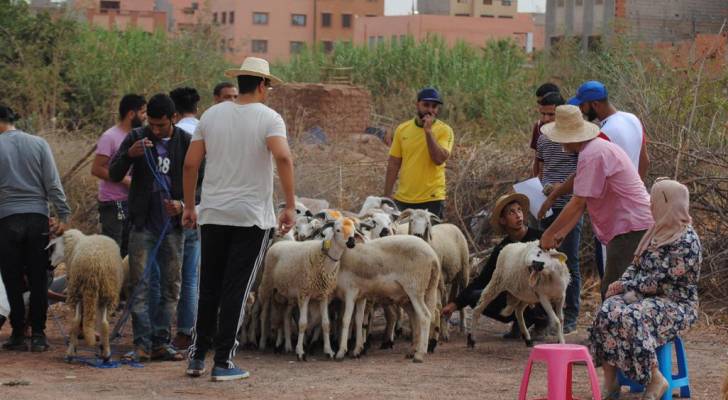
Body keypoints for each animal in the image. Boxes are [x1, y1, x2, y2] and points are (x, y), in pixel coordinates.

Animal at [46, 228, 122, 362]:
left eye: (53, 247)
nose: (49, 265)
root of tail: (95, 263)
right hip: (105, 291)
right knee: (104, 323)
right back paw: (106, 354)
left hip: (79, 290)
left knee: (76, 320)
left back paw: (71, 353)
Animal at [258, 217, 358, 360]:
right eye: (338, 230)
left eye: (354, 231)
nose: (351, 242)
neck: (323, 258)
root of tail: (278, 244)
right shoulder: (304, 294)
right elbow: (302, 324)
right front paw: (300, 352)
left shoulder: (324, 295)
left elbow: (325, 323)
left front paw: (329, 351)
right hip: (267, 286)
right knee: (264, 315)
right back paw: (262, 343)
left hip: (287, 294)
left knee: (285, 316)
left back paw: (287, 346)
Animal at [334, 234, 440, 362]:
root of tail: (433, 256)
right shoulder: (360, 295)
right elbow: (358, 320)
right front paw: (357, 350)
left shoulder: (350, 292)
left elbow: (346, 320)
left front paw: (341, 352)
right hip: (420, 291)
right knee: (417, 317)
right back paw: (412, 350)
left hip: (415, 288)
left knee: (425, 316)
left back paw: (420, 354)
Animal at [396, 209, 470, 344]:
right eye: (411, 220)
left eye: (427, 222)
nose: (418, 235)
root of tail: (452, 225)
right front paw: (413, 333)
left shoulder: (439, 280)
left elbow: (439, 305)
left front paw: (443, 332)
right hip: (453, 275)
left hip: (464, 269)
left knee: (460, 293)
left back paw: (462, 327)